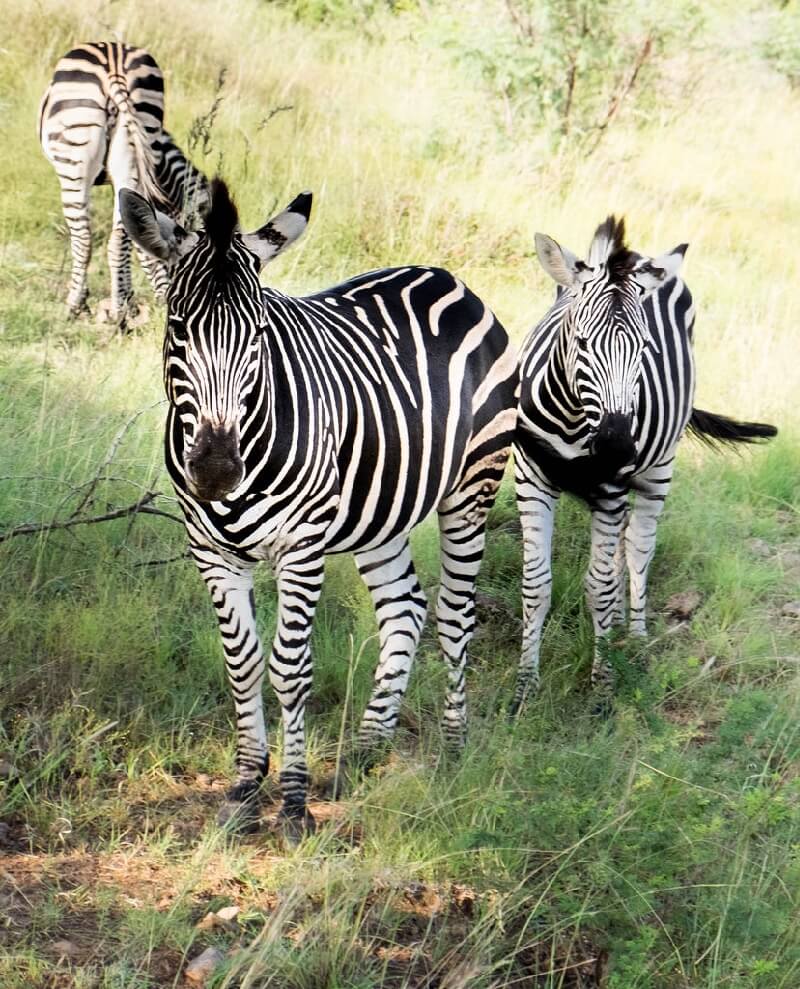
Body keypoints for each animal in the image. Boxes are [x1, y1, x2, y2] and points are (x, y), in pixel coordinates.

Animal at [38, 41, 207, 324]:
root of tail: (115, 69)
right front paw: (129, 301)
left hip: (74, 159)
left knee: (83, 237)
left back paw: (75, 305)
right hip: (135, 144)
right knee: (119, 239)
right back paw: (119, 312)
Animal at [118, 178, 519, 839]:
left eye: (259, 333)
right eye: (178, 327)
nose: (216, 470)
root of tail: (444, 278)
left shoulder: (301, 550)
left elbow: (289, 668)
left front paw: (293, 803)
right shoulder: (211, 553)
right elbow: (243, 664)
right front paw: (244, 787)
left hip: (472, 487)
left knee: (454, 615)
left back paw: (455, 747)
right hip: (381, 510)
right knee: (404, 608)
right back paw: (367, 748)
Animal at [511, 216, 777, 713]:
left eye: (645, 347)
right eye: (580, 342)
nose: (617, 447)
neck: (574, 417)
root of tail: (638, 256)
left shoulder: (612, 484)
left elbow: (599, 584)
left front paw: (602, 686)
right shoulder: (530, 477)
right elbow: (536, 585)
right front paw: (523, 690)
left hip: (658, 468)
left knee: (637, 546)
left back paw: (633, 636)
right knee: (621, 546)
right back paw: (616, 627)